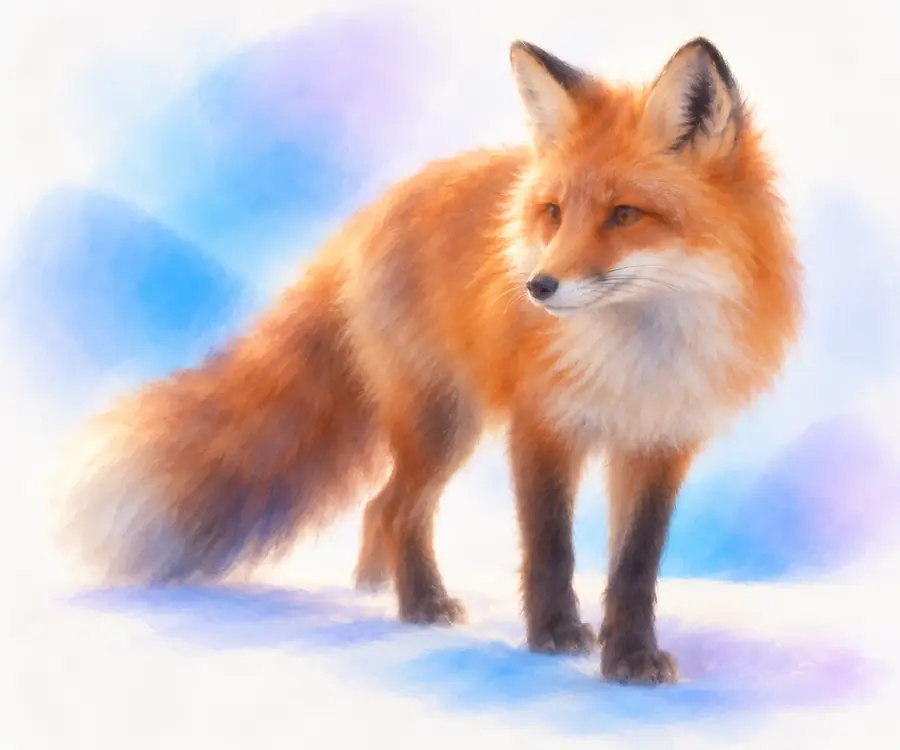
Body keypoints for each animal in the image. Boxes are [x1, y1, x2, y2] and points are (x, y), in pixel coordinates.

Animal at [60, 37, 802, 685]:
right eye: (554, 212)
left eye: (625, 215)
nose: (536, 287)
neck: (636, 350)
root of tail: (370, 214)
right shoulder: (540, 426)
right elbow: (550, 547)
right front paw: (555, 634)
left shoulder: (659, 442)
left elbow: (634, 569)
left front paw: (629, 658)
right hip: (441, 424)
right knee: (396, 510)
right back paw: (415, 604)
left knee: (378, 508)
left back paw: (372, 587)